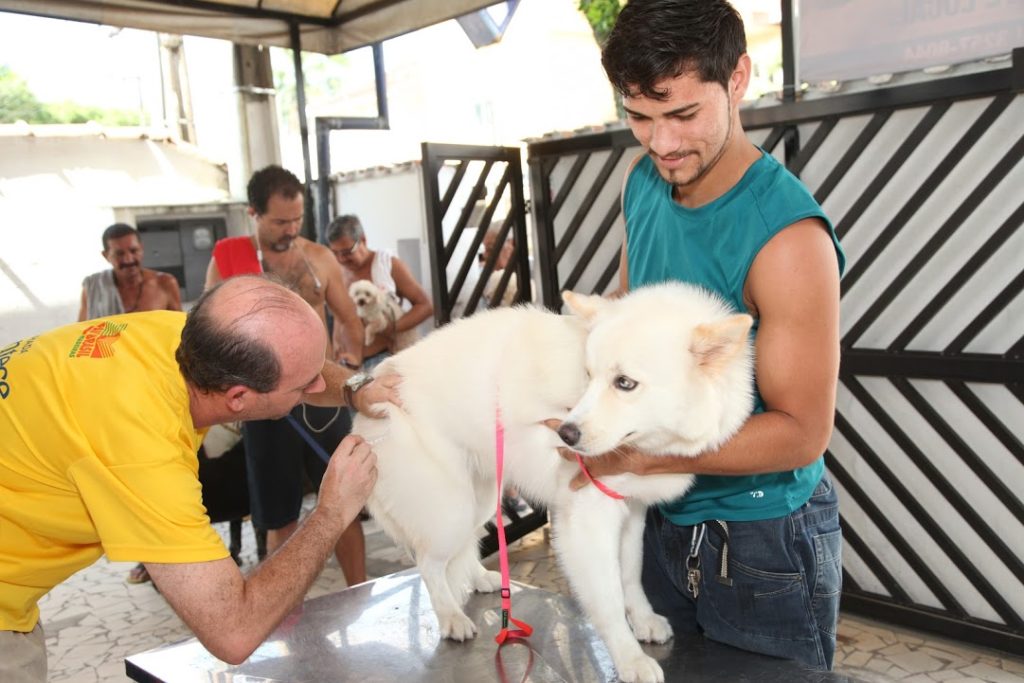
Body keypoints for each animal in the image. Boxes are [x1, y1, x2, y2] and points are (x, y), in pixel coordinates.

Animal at [352, 280, 753, 679]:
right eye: (588, 376)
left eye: (625, 383)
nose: (566, 434)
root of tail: (364, 414)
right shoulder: (589, 522)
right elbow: (608, 597)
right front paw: (629, 659)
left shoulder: (632, 513)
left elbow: (630, 575)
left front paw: (643, 620)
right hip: (452, 508)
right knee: (428, 563)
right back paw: (452, 617)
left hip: (482, 499)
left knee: (458, 553)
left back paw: (481, 580)